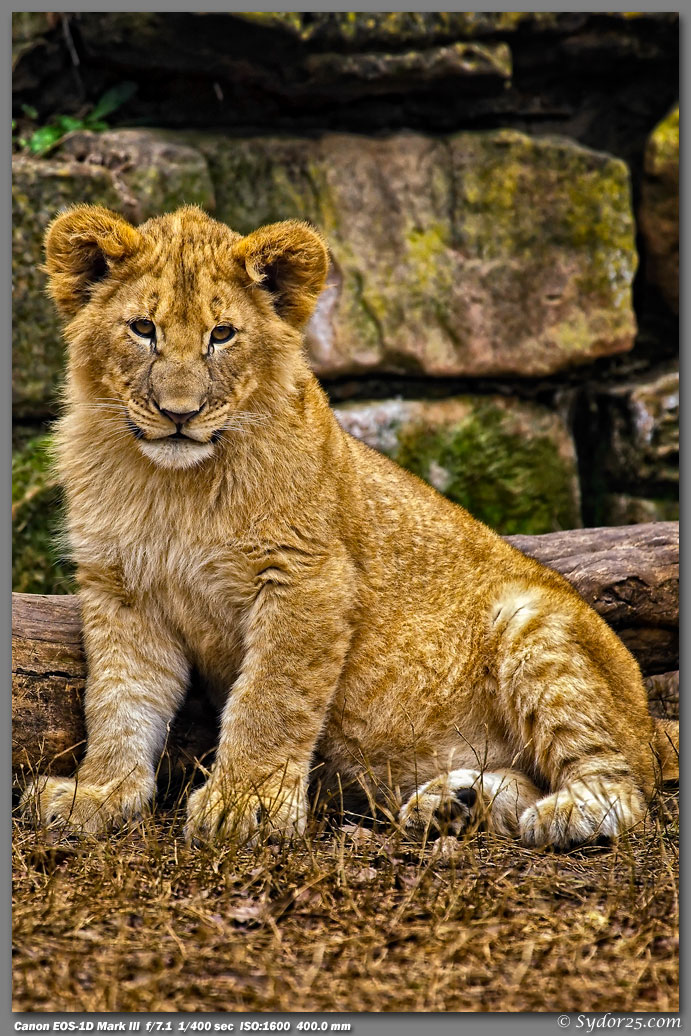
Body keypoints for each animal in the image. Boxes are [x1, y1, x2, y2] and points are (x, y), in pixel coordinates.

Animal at [22, 204, 678, 849]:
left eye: (222, 334)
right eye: (143, 329)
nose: (179, 414)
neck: (171, 486)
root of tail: (649, 720)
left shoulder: (307, 576)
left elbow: (270, 699)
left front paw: (245, 805)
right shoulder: (122, 591)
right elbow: (117, 703)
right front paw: (96, 795)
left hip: (534, 624)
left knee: (622, 790)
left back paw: (566, 813)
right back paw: (452, 804)